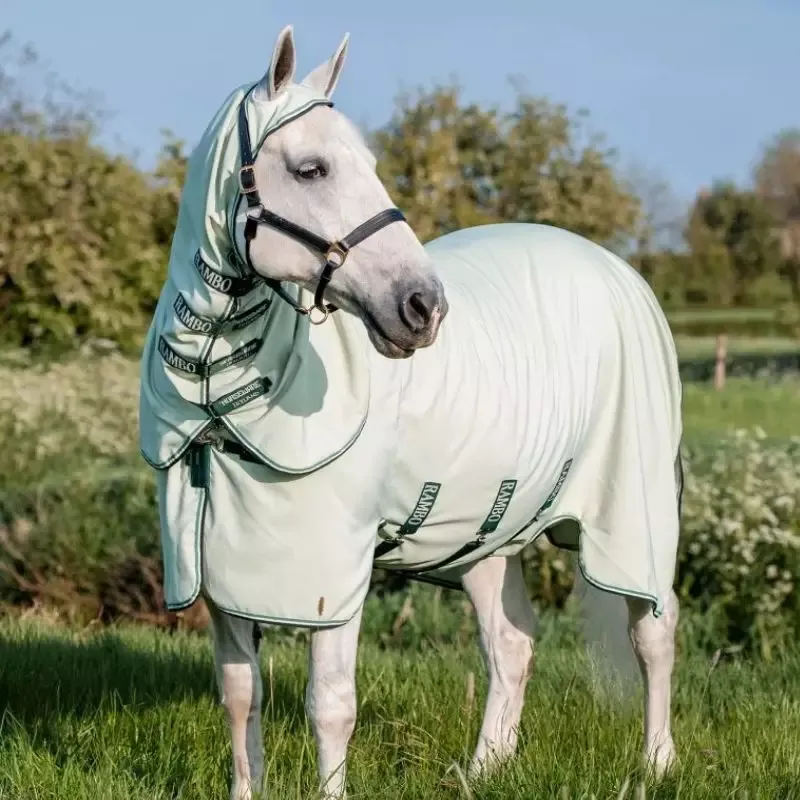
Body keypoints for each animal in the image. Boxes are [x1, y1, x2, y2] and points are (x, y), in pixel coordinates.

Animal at [139, 25, 683, 800]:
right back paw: (483, 770)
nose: (423, 307)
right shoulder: (220, 574)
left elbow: (330, 705)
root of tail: (616, 269)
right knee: (510, 644)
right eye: (311, 169)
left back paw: (655, 764)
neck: (222, 394)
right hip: (488, 534)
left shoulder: (334, 576)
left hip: (635, 514)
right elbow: (241, 697)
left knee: (652, 633)